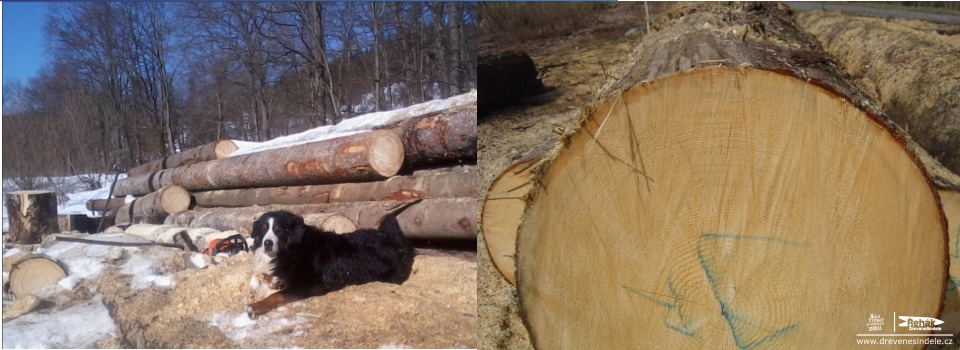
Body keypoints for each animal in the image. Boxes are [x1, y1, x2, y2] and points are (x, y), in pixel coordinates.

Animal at [246, 209, 414, 318]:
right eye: (263, 229)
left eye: (279, 230)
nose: (267, 243)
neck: (295, 249)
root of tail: (394, 238)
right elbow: (267, 275)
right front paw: (273, 280)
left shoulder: (307, 284)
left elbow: (276, 295)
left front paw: (255, 306)